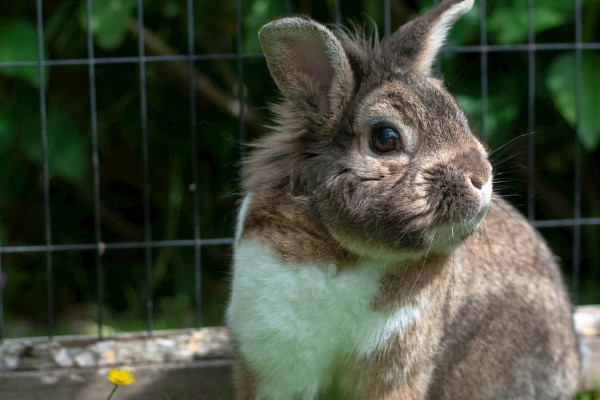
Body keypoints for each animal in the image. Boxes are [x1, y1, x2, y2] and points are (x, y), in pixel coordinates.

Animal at [226, 1, 580, 398]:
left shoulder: (397, 375)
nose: (481, 178)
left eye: (458, 116)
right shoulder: (274, 365)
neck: (348, 253)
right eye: (385, 138)